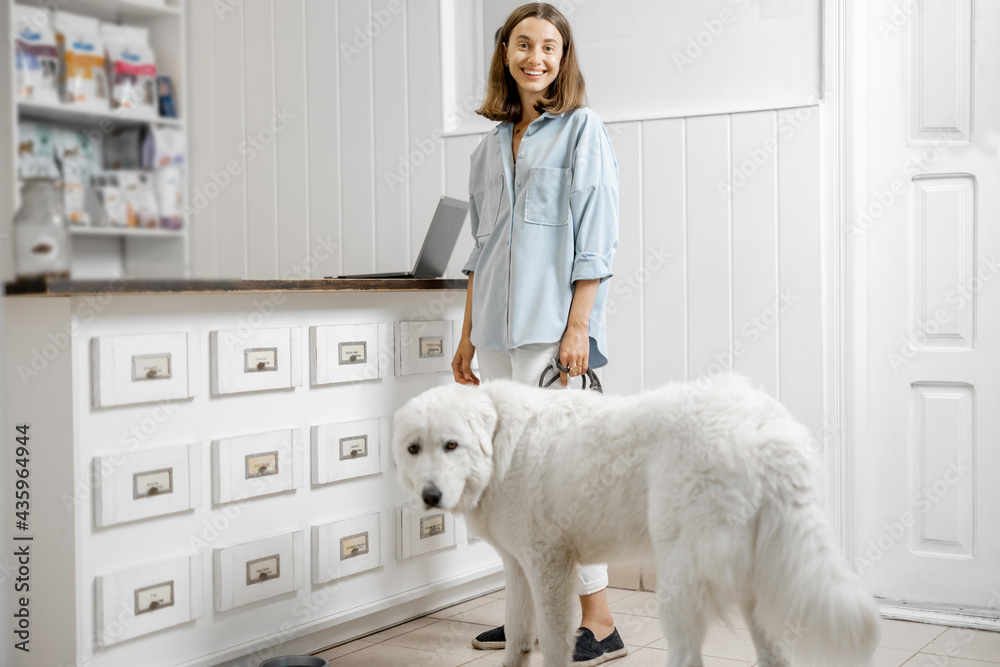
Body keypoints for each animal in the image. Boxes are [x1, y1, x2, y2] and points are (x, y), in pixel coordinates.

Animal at [394, 376, 880, 667]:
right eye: (414, 448)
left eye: (451, 445)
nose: (430, 497)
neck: (499, 446)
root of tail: (764, 429)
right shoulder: (518, 568)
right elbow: (516, 635)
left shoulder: (549, 567)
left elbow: (552, 641)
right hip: (753, 581)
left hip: (680, 585)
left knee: (688, 657)